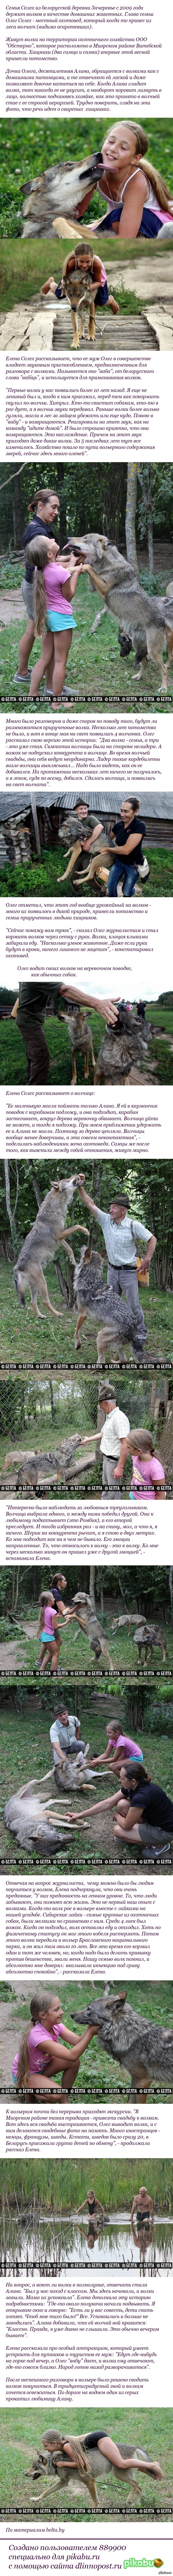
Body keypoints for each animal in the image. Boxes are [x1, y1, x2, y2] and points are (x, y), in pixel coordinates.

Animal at [74, 1247, 140, 1370]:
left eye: (84, 1252)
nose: (84, 1246)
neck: (91, 1281)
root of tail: (134, 1330)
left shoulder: (82, 1314)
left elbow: (76, 1333)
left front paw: (78, 1345)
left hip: (100, 1337)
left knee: (102, 1363)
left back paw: (91, 1369)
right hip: (116, 1345)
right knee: (124, 1360)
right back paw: (116, 1362)